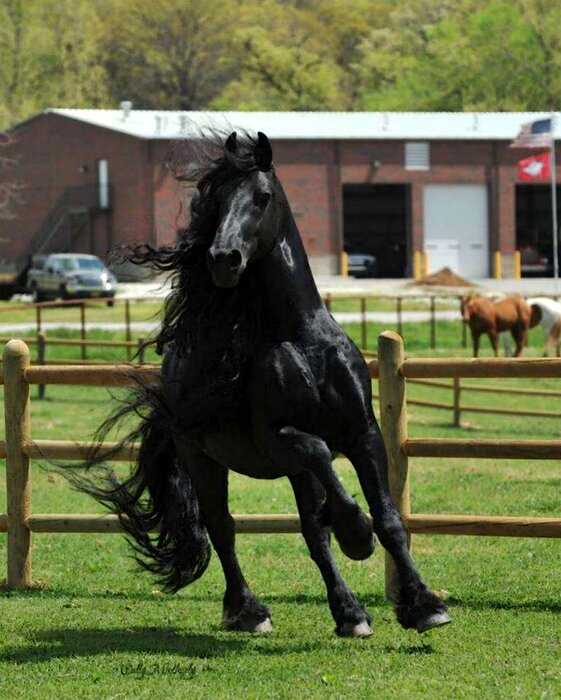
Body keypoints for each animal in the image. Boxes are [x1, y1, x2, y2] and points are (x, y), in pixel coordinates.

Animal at [72, 129, 450, 636]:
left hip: (286, 470)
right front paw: (356, 533)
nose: (222, 258)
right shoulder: (277, 440)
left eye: (262, 196)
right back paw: (248, 610)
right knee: (223, 526)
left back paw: (349, 613)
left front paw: (424, 604)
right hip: (203, 458)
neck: (299, 338)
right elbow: (321, 461)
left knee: (311, 531)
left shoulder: (363, 433)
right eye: (215, 201)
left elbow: (388, 520)